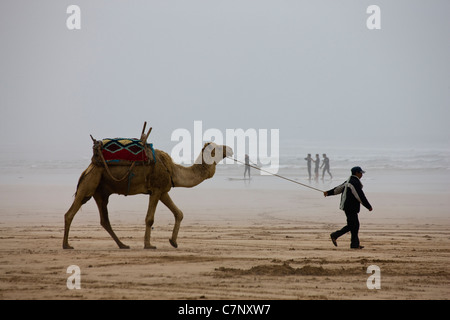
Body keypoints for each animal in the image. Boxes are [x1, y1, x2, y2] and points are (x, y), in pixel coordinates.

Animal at [62, 142, 236, 250]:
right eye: (218, 148)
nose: (230, 148)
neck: (173, 170)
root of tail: (88, 167)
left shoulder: (163, 190)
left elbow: (179, 213)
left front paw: (173, 242)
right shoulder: (156, 189)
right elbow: (150, 218)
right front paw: (149, 245)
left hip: (100, 192)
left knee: (104, 220)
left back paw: (123, 245)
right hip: (90, 183)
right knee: (70, 212)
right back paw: (66, 245)